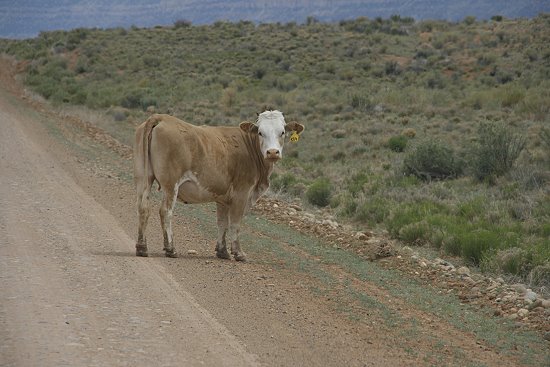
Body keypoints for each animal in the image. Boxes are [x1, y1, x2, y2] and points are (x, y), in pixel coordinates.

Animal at [134, 110, 306, 262]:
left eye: (282, 132)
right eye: (260, 132)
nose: (272, 152)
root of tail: (160, 117)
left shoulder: (223, 198)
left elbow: (222, 222)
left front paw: (222, 251)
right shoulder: (242, 193)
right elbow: (235, 223)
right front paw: (238, 253)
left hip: (144, 177)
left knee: (143, 207)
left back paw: (142, 247)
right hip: (171, 184)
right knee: (165, 211)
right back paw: (170, 249)